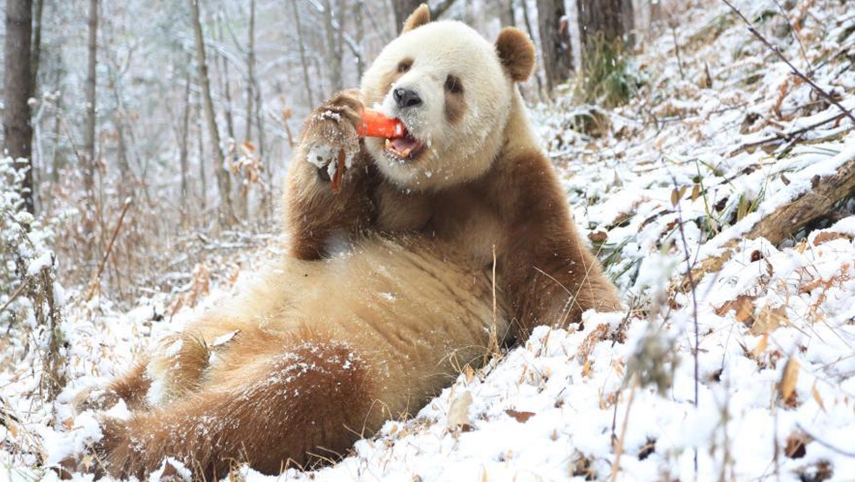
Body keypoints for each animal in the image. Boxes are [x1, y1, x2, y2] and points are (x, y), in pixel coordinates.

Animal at [80, 5, 620, 480]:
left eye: (452, 85)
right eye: (404, 64)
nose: (405, 96)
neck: (430, 187)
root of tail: (205, 368)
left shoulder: (514, 194)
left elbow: (560, 278)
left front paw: (601, 331)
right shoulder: (377, 192)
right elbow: (316, 237)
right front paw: (331, 133)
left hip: (354, 364)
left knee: (279, 399)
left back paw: (112, 442)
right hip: (237, 312)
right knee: (158, 363)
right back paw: (91, 405)